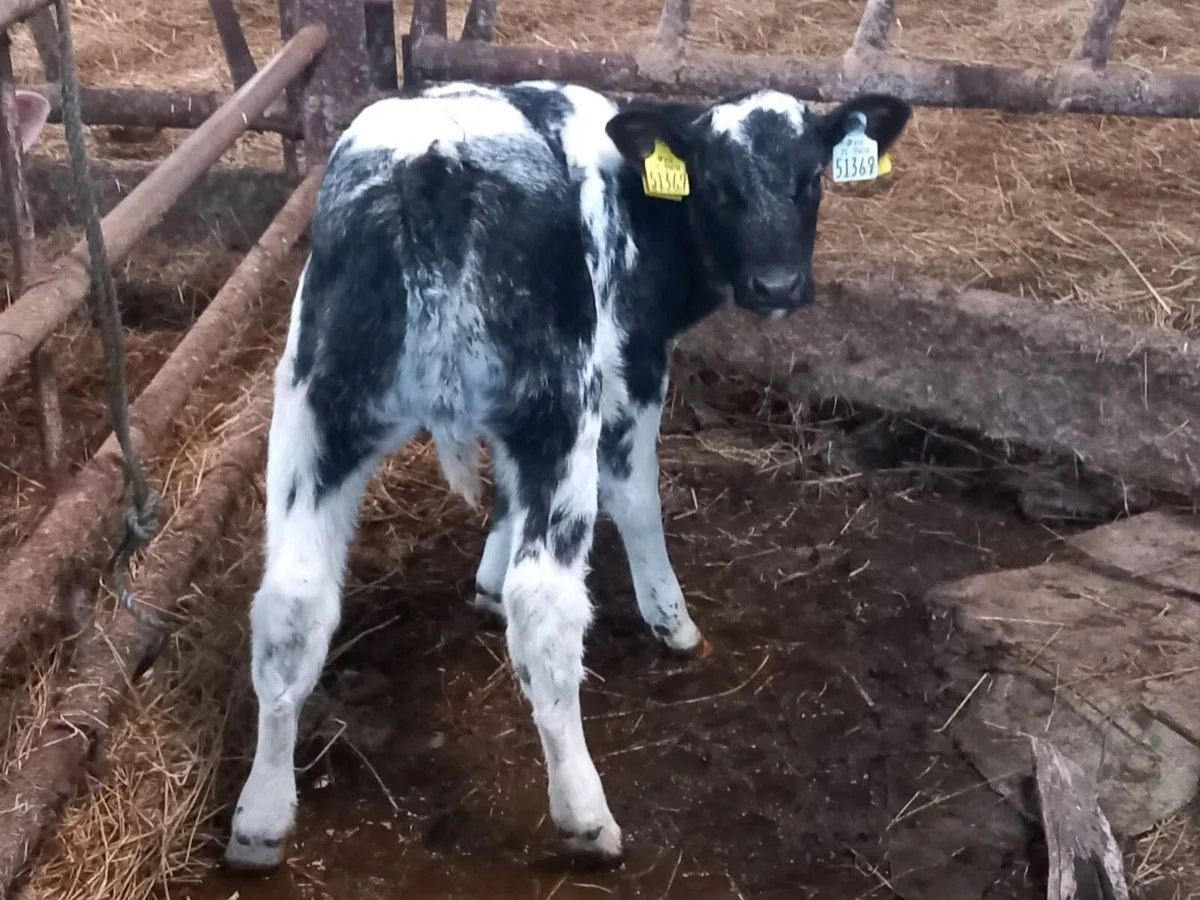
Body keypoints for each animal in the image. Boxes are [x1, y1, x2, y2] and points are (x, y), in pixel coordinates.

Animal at [225, 79, 911, 871]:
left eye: (812, 179)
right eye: (719, 184)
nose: (778, 285)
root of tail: (433, 155)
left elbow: (504, 501)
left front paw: (486, 583)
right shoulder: (630, 370)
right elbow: (638, 499)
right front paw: (674, 624)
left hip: (316, 412)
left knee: (290, 606)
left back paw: (259, 820)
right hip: (556, 405)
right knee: (547, 607)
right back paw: (586, 816)